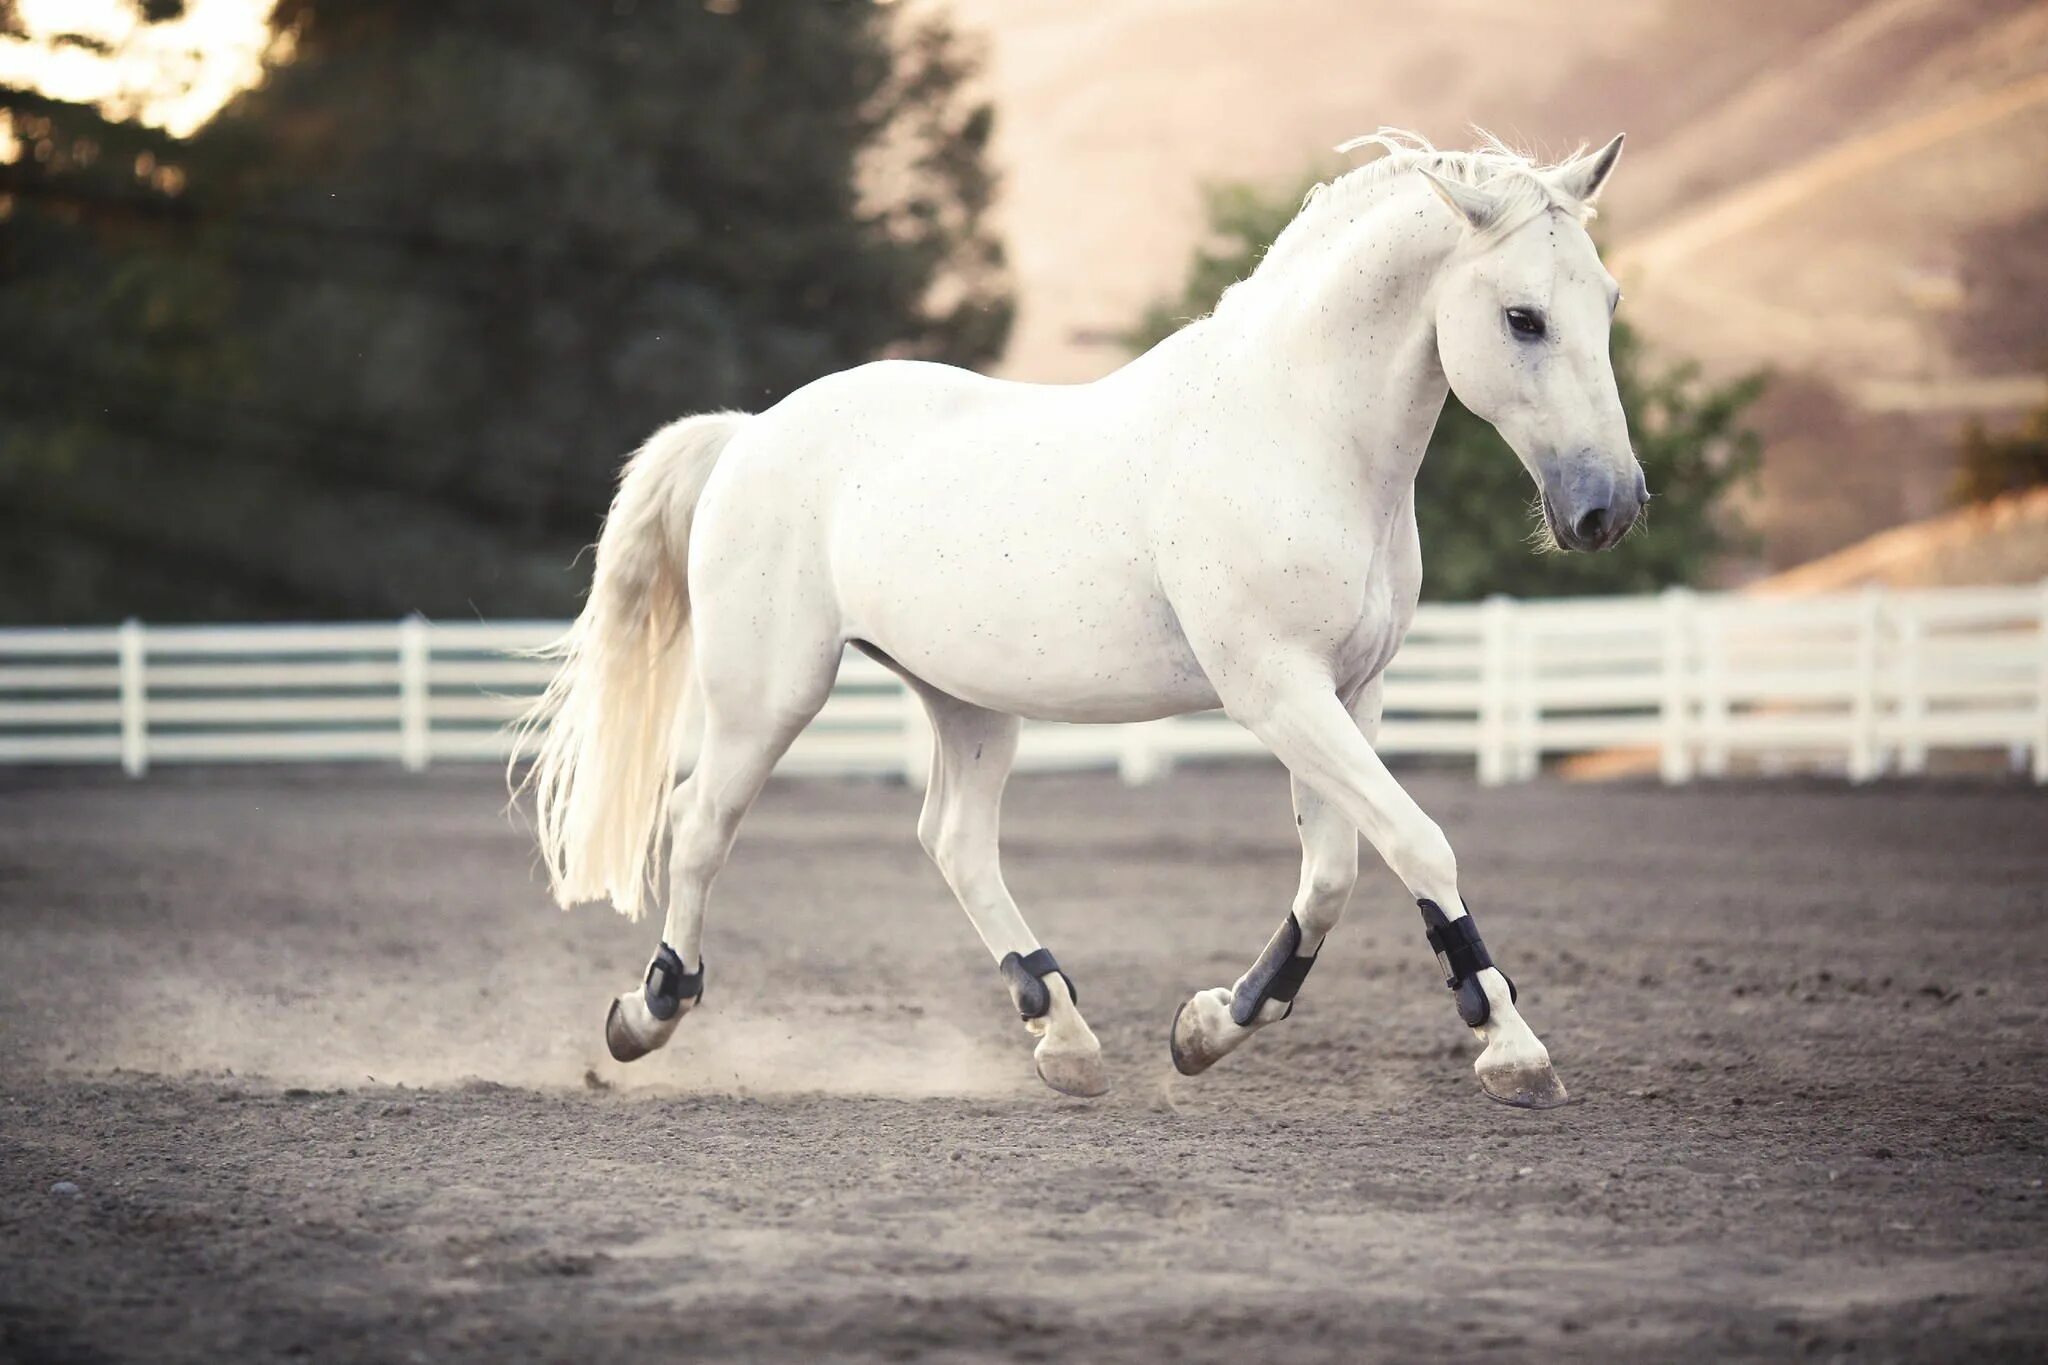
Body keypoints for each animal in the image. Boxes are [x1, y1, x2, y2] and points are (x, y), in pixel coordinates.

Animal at [520, 130, 1638, 1113]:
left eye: (1609, 303)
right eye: (1523, 318)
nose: (1610, 507)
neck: (1295, 433)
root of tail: (749, 433)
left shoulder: (1347, 696)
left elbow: (1331, 874)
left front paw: (1209, 1027)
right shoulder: (1278, 692)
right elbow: (1418, 843)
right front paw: (1514, 1052)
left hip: (966, 701)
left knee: (953, 840)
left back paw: (1061, 1033)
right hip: (769, 694)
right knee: (699, 822)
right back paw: (649, 1011)